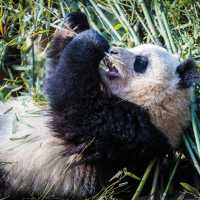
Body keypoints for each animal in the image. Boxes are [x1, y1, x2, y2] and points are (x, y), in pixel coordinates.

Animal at [0, 12, 199, 198]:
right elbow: (55, 72)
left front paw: (93, 40)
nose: (113, 51)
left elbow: (72, 98)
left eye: (140, 62)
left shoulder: (124, 132)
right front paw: (75, 22)